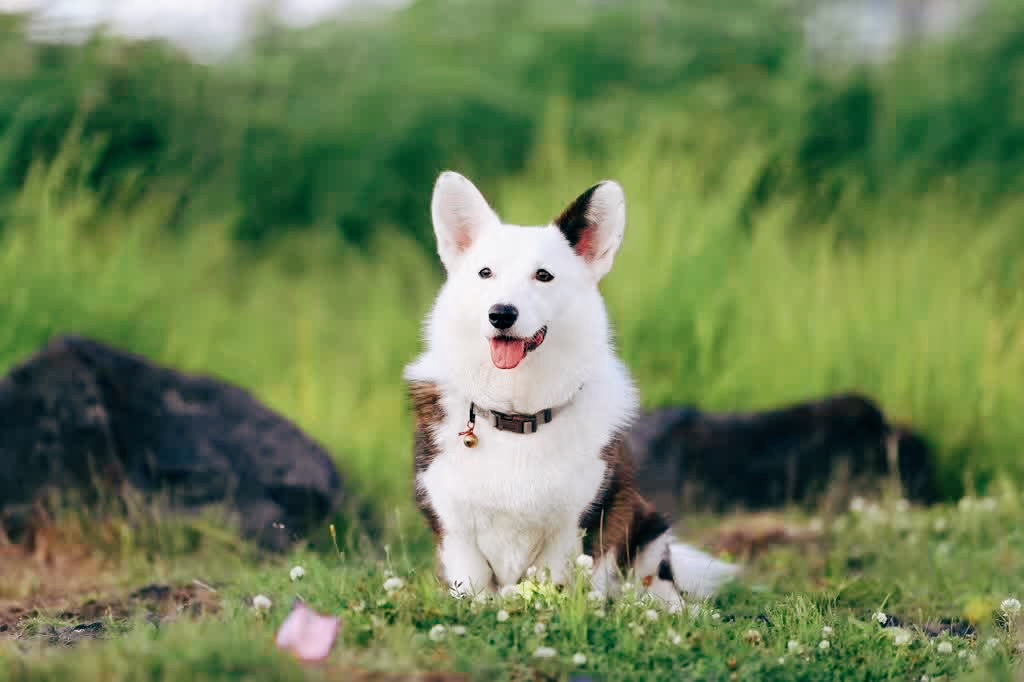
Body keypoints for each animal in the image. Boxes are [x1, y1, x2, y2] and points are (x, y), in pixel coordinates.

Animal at [403, 169, 741, 606]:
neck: (518, 413)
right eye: (485, 273)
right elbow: (475, 588)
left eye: (543, 276)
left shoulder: (575, 526)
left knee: (658, 585)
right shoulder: (454, 526)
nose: (501, 314)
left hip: (646, 522)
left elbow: (559, 581)